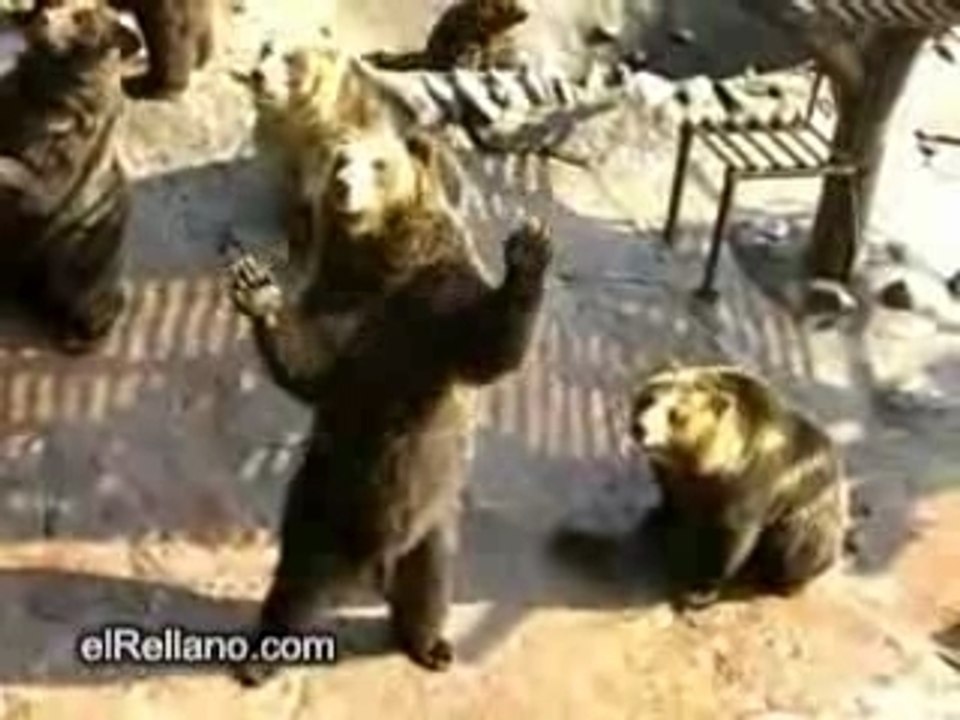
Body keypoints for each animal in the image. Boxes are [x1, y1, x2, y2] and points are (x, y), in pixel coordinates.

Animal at [0, 0, 140, 353]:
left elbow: (23, 172)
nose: (42, 18)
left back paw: (76, 334)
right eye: (54, 3)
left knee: (95, 305)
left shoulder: (53, 179)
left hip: (83, 260)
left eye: (84, 19)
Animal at [224, 107, 552, 687]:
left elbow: (489, 346)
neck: (384, 261)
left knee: (429, 584)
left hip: (434, 517)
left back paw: (431, 645)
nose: (342, 184)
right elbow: (311, 365)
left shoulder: (434, 305)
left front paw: (529, 252)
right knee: (296, 585)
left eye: (378, 163)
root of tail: (374, 561)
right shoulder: (341, 305)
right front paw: (257, 288)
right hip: (322, 501)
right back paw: (263, 657)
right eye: (340, 157)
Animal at [629, 363, 849, 610]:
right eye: (648, 399)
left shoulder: (748, 482)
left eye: (675, 414)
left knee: (796, 548)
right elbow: (670, 496)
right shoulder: (672, 475)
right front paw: (657, 516)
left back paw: (782, 581)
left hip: (810, 510)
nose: (640, 428)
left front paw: (699, 591)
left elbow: (733, 537)